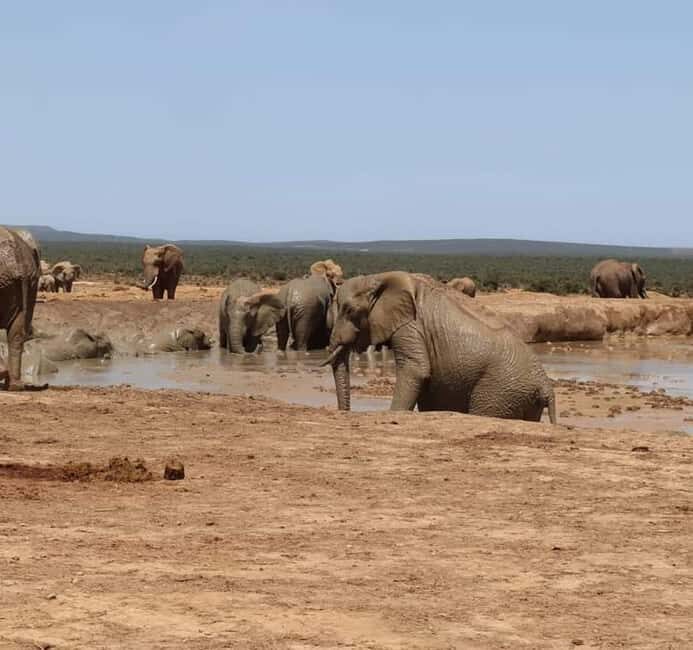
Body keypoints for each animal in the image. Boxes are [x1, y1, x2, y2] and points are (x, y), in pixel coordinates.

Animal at [322, 271, 557, 423]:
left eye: (349, 310)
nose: (344, 414)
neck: (376, 278)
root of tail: (546, 386)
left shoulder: (411, 326)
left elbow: (416, 369)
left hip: (500, 391)